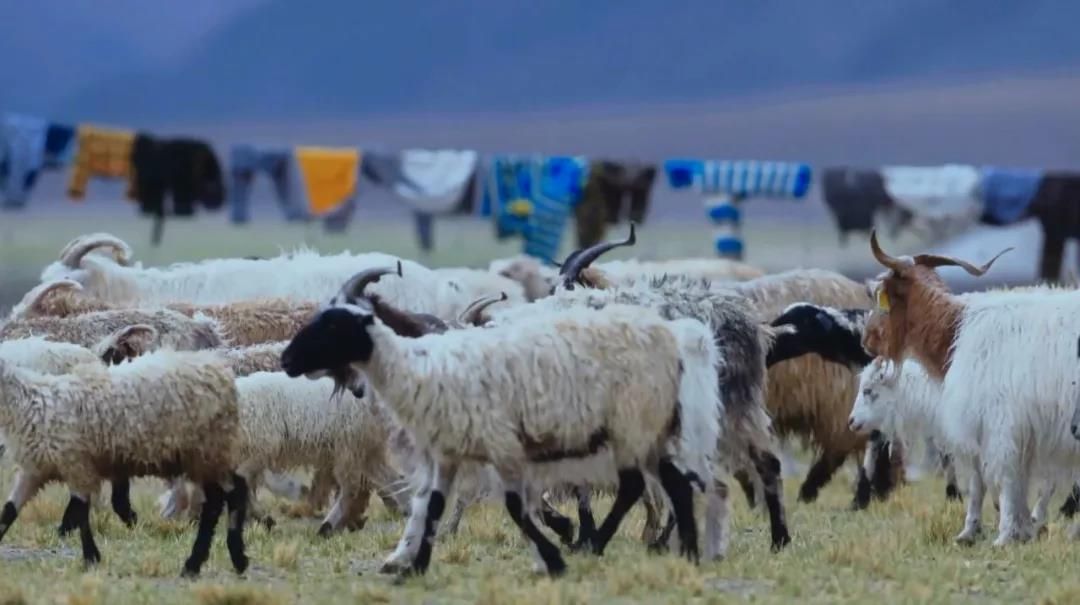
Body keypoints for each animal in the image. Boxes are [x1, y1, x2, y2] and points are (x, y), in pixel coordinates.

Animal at [0, 349, 249, 576]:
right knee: (229, 494)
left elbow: (80, 512)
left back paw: (204, 562)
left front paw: (91, 557)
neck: (31, 403)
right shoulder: (34, 470)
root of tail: (220, 371)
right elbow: (9, 510)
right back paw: (225, 560)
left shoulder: (77, 465)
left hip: (208, 450)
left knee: (223, 499)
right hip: (210, 455)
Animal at [281, 282, 720, 577]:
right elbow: (434, 504)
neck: (421, 368)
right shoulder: (448, 451)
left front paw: (553, 556)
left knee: (634, 485)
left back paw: (599, 545)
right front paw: (414, 564)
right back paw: (688, 553)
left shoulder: (502, 445)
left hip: (632, 423)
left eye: (332, 328)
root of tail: (673, 339)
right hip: (646, 430)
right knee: (675, 484)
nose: (286, 360)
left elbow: (513, 507)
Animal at [864, 229, 1080, 546]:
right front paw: (1016, 531)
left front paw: (1004, 535)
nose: (866, 340)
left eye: (880, 296)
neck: (957, 330)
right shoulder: (1016, 429)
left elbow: (1005, 479)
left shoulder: (1001, 423)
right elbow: (1007, 481)